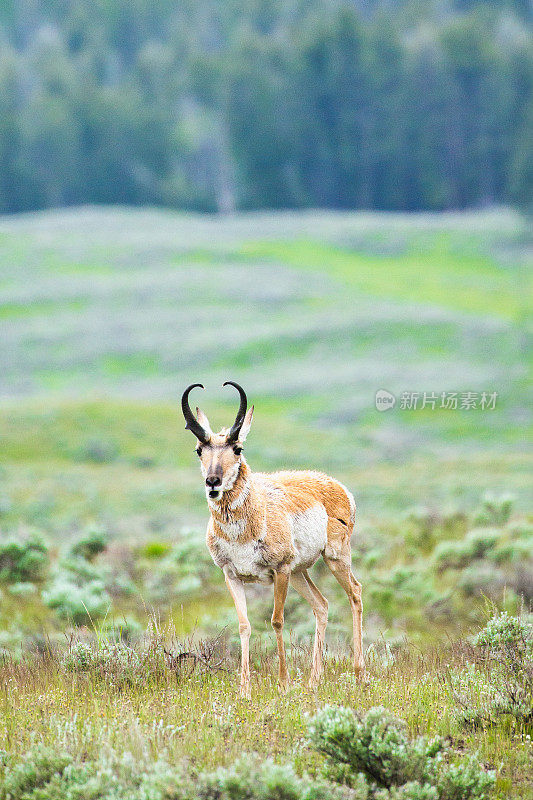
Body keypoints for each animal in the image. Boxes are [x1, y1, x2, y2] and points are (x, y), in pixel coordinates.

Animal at [181, 384, 364, 696]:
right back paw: (314, 680)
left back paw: (359, 673)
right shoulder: (232, 576)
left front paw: (283, 683)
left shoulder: (279, 571)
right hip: (300, 572)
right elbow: (244, 625)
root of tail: (336, 485)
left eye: (237, 448)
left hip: (334, 558)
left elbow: (277, 621)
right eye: (199, 450)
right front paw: (244, 689)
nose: (213, 481)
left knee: (355, 593)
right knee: (322, 605)